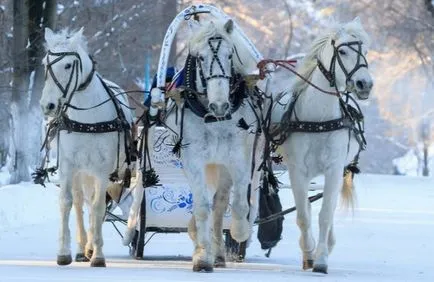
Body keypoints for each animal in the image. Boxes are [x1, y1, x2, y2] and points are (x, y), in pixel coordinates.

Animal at [39, 27, 134, 268]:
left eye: (67, 65)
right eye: (45, 64)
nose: (48, 105)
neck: (88, 120)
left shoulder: (102, 170)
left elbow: (98, 207)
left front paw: (98, 254)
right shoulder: (68, 166)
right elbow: (67, 202)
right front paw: (64, 252)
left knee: (92, 205)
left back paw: (91, 247)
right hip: (81, 172)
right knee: (81, 202)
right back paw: (83, 248)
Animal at [124, 18, 262, 272]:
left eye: (230, 55)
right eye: (200, 58)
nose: (220, 105)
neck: (213, 118)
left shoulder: (238, 158)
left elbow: (239, 203)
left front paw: (240, 231)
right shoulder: (194, 159)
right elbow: (201, 207)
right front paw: (202, 255)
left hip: (222, 165)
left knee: (221, 203)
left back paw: (219, 252)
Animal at [262, 17, 374, 274]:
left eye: (364, 51)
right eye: (342, 51)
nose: (365, 84)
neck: (319, 120)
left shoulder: (334, 169)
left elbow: (325, 214)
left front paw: (321, 259)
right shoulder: (297, 171)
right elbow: (304, 215)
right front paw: (309, 253)